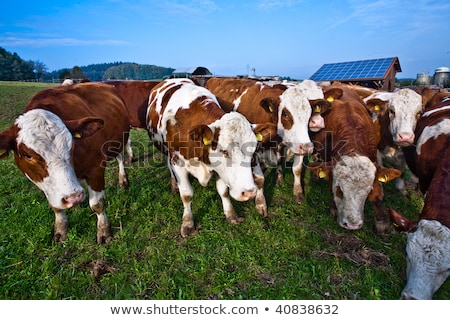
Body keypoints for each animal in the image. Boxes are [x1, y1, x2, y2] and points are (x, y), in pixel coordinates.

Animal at [0, 82, 131, 242]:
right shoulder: (45, 184)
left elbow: (97, 204)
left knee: (120, 158)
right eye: (27, 155)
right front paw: (61, 229)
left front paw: (104, 231)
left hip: (119, 141)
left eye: (72, 145)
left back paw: (123, 181)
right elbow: (56, 206)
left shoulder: (95, 169)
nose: (74, 197)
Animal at [148, 78, 274, 238]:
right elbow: (187, 194)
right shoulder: (177, 161)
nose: (249, 192)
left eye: (253, 150)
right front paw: (187, 224)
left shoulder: (218, 168)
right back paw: (174, 185)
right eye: (224, 151)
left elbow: (223, 191)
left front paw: (231, 214)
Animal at [306, 84, 400, 234]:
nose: (352, 225)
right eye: (339, 189)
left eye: (368, 190)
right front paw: (334, 208)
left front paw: (382, 222)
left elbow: (378, 196)